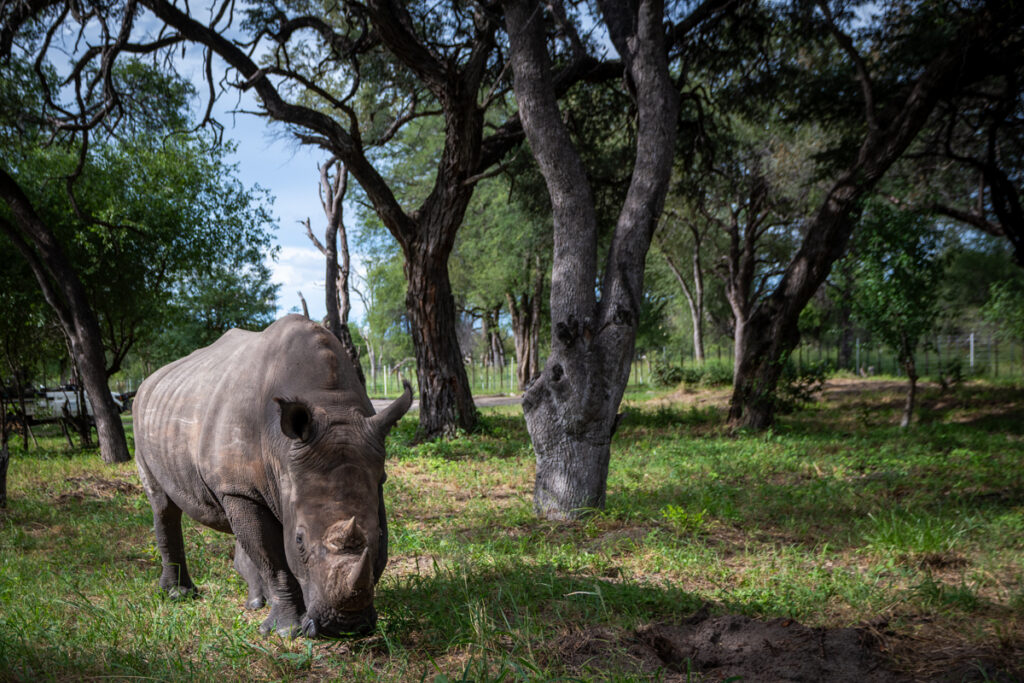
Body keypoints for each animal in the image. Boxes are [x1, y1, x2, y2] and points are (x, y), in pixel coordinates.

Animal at [133, 314, 411, 637]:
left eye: (379, 536)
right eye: (299, 540)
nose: (345, 626)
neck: (330, 405)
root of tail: (147, 383)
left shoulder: (374, 477)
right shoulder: (239, 488)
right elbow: (273, 559)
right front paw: (285, 631)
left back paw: (256, 602)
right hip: (145, 419)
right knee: (163, 504)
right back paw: (179, 595)